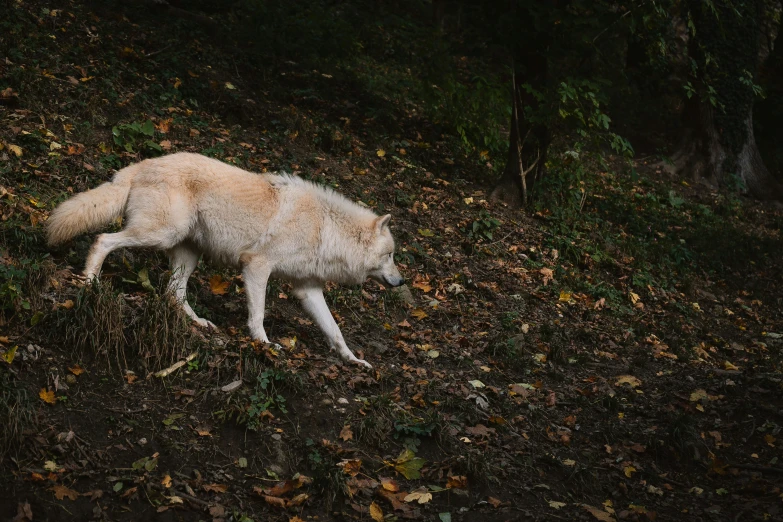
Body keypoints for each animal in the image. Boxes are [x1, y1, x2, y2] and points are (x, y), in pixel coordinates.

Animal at [48, 152, 404, 368]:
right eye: (389, 255)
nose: (401, 281)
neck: (325, 228)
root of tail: (143, 164)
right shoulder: (257, 266)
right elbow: (258, 314)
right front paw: (264, 344)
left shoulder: (308, 289)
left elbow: (335, 330)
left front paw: (355, 361)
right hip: (160, 235)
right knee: (103, 240)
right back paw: (90, 282)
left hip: (187, 254)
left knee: (173, 294)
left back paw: (201, 323)